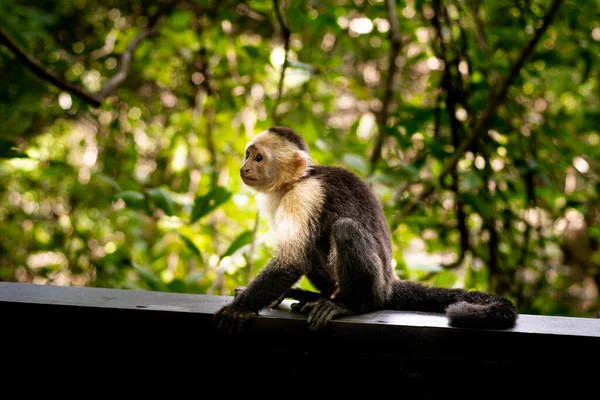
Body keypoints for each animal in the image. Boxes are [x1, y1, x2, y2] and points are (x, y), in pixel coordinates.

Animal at [213, 126, 516, 332]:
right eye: (248, 154)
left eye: (259, 158)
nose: (244, 167)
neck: (297, 180)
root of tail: (389, 284)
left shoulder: (306, 194)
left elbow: (292, 260)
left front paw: (239, 309)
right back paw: (316, 297)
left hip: (376, 288)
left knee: (345, 230)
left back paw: (347, 305)